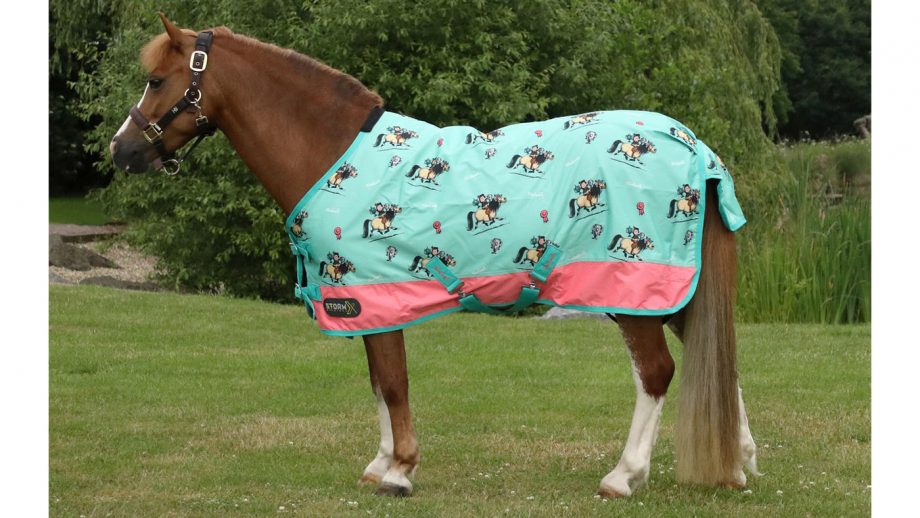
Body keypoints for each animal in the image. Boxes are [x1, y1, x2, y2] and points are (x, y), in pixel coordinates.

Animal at [110, 15, 758, 499]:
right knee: (716, 355)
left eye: (158, 80)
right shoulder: (367, 302)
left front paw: (399, 472)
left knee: (658, 373)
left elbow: (393, 383)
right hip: (675, 290)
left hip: (633, 290)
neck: (333, 154)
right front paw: (381, 463)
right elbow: (378, 383)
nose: (122, 150)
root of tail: (693, 149)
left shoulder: (369, 294)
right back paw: (740, 461)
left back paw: (624, 477)